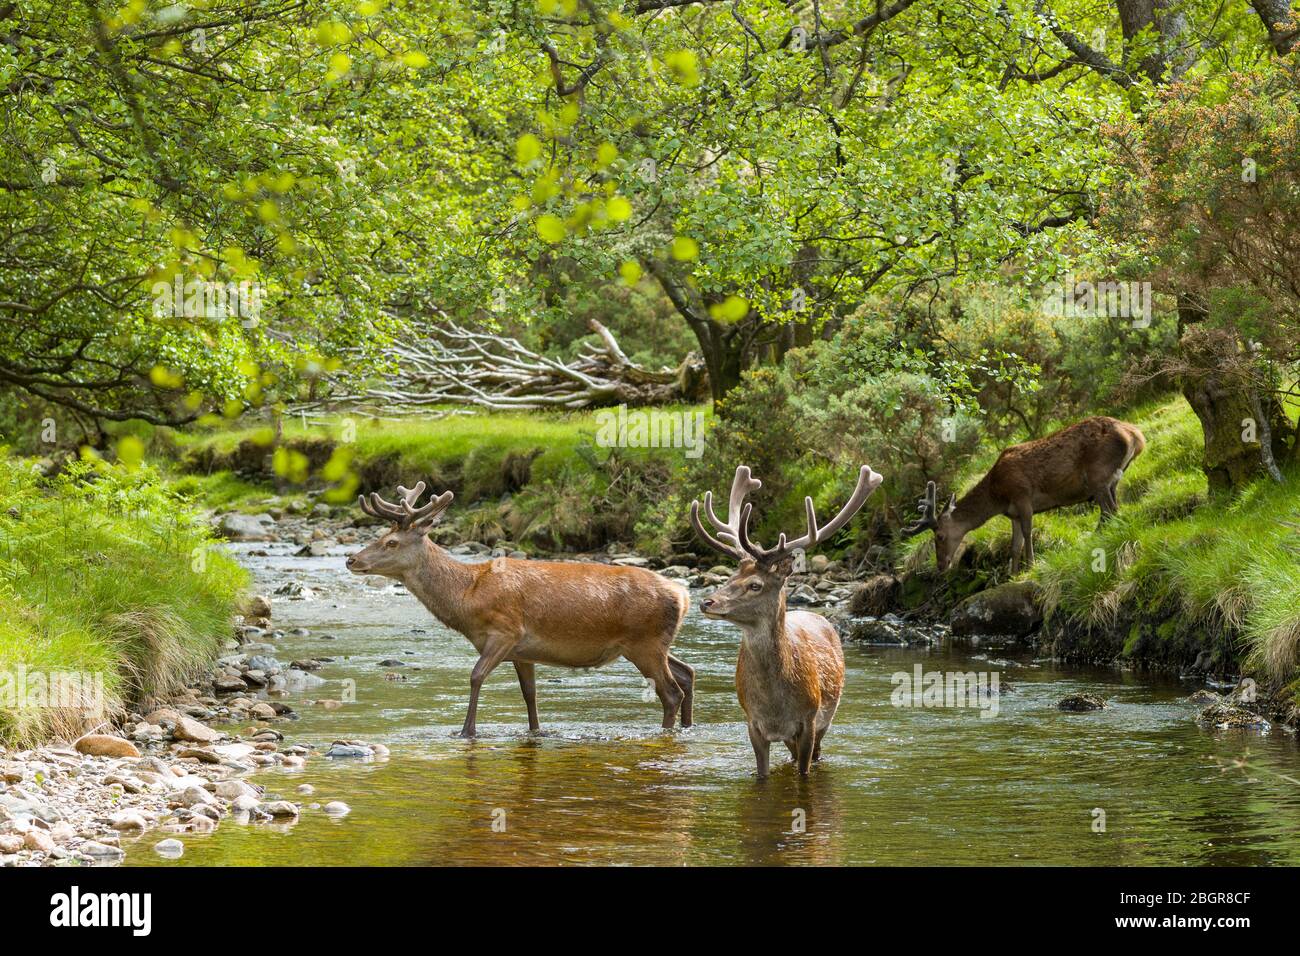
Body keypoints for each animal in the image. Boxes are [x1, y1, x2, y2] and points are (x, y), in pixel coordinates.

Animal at [343, 481, 691, 738]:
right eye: (380, 535)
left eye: (392, 542)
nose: (351, 559)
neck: (467, 598)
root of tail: (683, 595)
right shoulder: (524, 652)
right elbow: (529, 694)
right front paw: (535, 731)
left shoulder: (505, 631)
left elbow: (475, 676)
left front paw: (466, 731)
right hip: (651, 644)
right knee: (687, 672)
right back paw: (688, 726)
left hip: (644, 643)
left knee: (671, 692)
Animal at [691, 463, 883, 780]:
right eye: (730, 577)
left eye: (755, 585)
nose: (707, 602)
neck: (775, 706)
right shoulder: (753, 724)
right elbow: (762, 774)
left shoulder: (808, 720)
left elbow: (805, 772)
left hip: (827, 716)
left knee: (818, 754)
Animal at [899, 416, 1144, 572]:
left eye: (939, 536)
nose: (941, 566)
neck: (997, 497)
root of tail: (1136, 435)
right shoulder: (1013, 513)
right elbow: (1014, 546)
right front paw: (1012, 574)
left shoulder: (1022, 496)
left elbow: (1028, 533)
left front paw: (1031, 566)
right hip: (1113, 478)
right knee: (1112, 509)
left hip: (1098, 475)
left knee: (1111, 510)